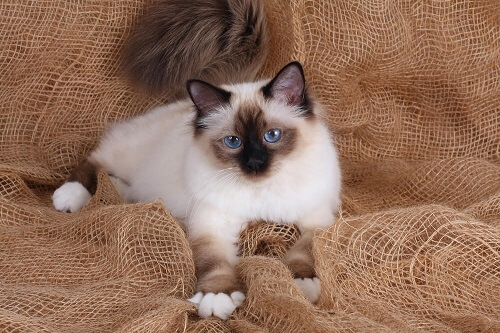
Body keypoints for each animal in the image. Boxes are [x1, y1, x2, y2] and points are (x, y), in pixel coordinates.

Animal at [52, 0, 342, 320]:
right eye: (233, 142)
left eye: (272, 135)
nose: (254, 164)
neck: (259, 193)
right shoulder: (211, 224)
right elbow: (214, 264)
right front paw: (218, 299)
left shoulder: (316, 218)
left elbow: (305, 250)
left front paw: (301, 284)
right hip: (125, 155)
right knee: (94, 160)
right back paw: (68, 197)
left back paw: (118, 190)